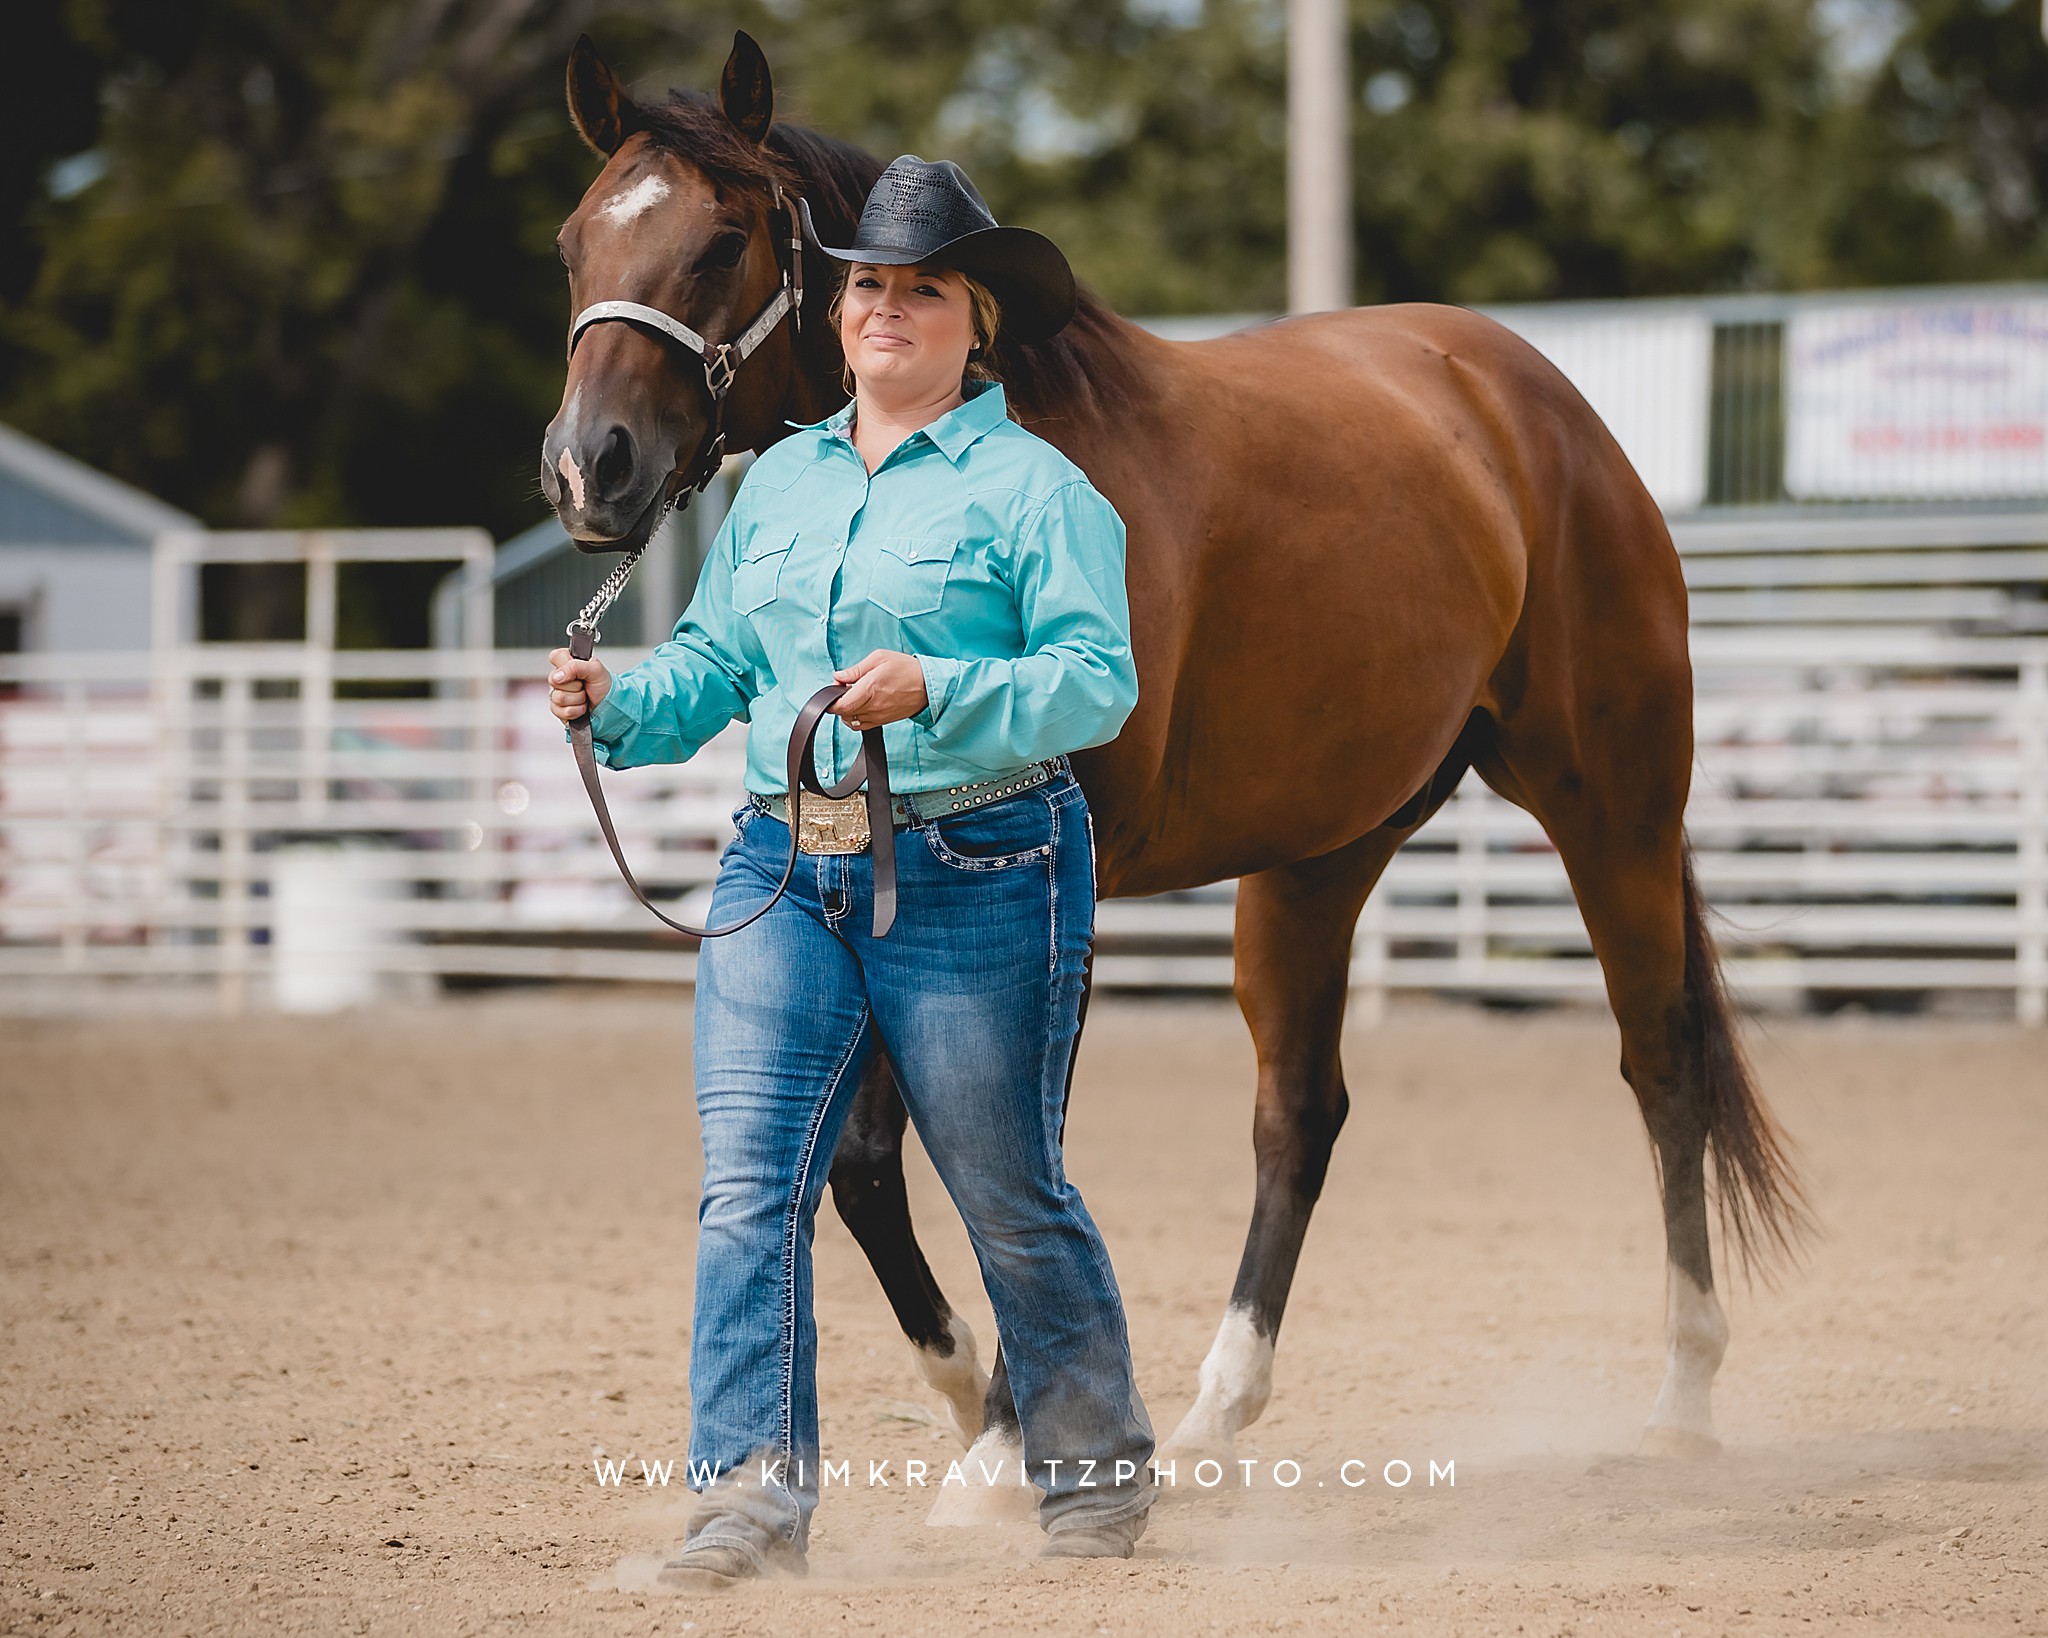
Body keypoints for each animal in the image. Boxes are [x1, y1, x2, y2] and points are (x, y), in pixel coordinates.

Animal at [536, 28, 1802, 1506]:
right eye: (574, 242)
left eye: (724, 238)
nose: (587, 468)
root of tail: (1536, 404)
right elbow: (861, 1163)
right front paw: (967, 1400)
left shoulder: (1055, 891)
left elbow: (1018, 1152)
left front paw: (1005, 1448)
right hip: (1323, 856)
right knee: (1299, 1113)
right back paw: (1211, 1413)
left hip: (1612, 806)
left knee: (1661, 1063)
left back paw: (1682, 1395)